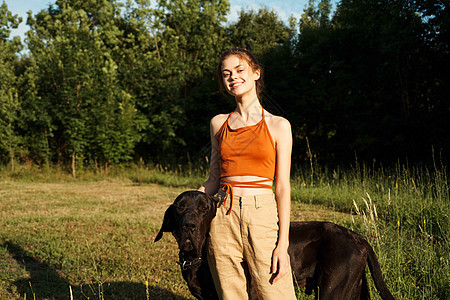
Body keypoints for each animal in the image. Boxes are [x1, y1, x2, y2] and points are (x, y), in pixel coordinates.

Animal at [155, 191, 394, 298]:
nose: (189, 225)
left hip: (332, 291)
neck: (196, 256)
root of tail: (359, 238)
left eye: (204, 208)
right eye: (179, 207)